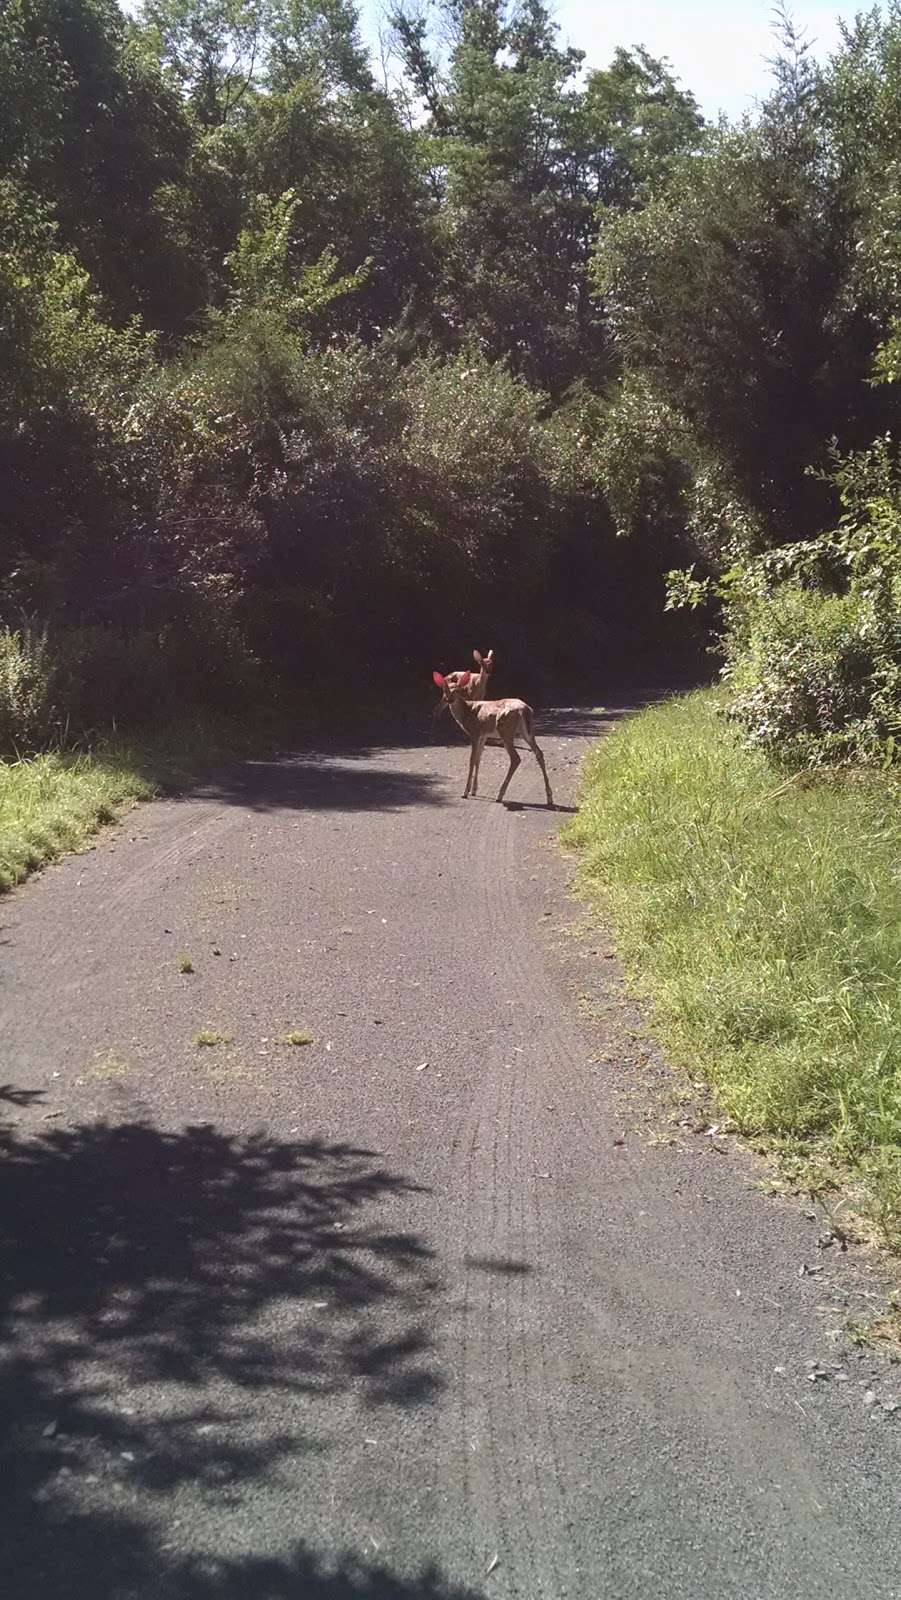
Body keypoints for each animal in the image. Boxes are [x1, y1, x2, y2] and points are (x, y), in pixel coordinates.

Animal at [432, 668, 553, 806]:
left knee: (516, 758)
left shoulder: (475, 732)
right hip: (528, 731)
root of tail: (524, 710)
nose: (449, 700)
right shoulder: (483, 735)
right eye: (444, 690)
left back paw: (500, 795)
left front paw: (466, 792)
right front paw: (474, 790)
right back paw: (549, 797)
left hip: (505, 730)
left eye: (457, 690)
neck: (466, 712)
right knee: (539, 752)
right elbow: (478, 759)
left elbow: (472, 760)